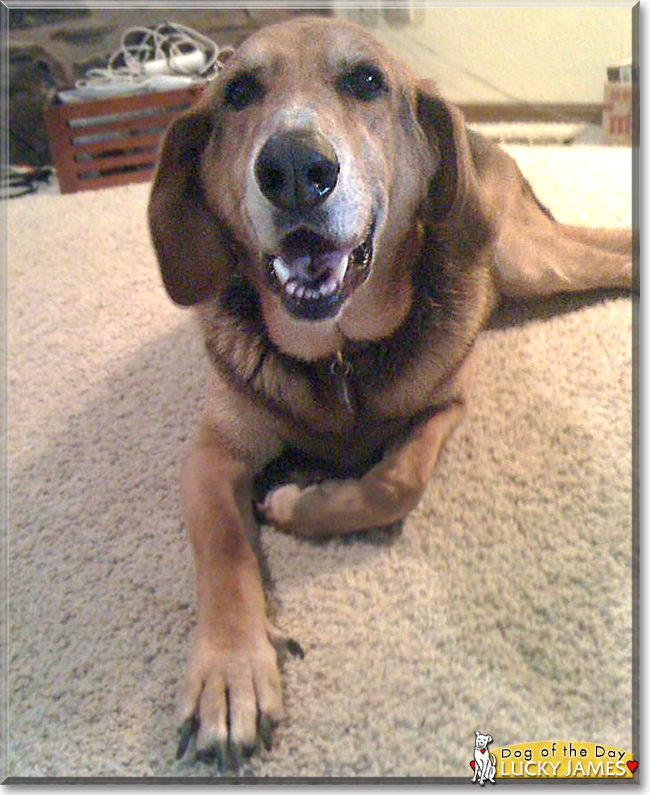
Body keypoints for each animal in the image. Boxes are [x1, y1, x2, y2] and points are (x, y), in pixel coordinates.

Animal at [148, 17, 632, 764]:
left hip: (529, 258)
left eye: (367, 81)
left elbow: (393, 482)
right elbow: (224, 552)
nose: (294, 169)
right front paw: (230, 671)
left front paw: (297, 504)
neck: (339, 353)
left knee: (614, 248)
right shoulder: (212, 449)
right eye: (238, 92)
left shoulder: (445, 403)